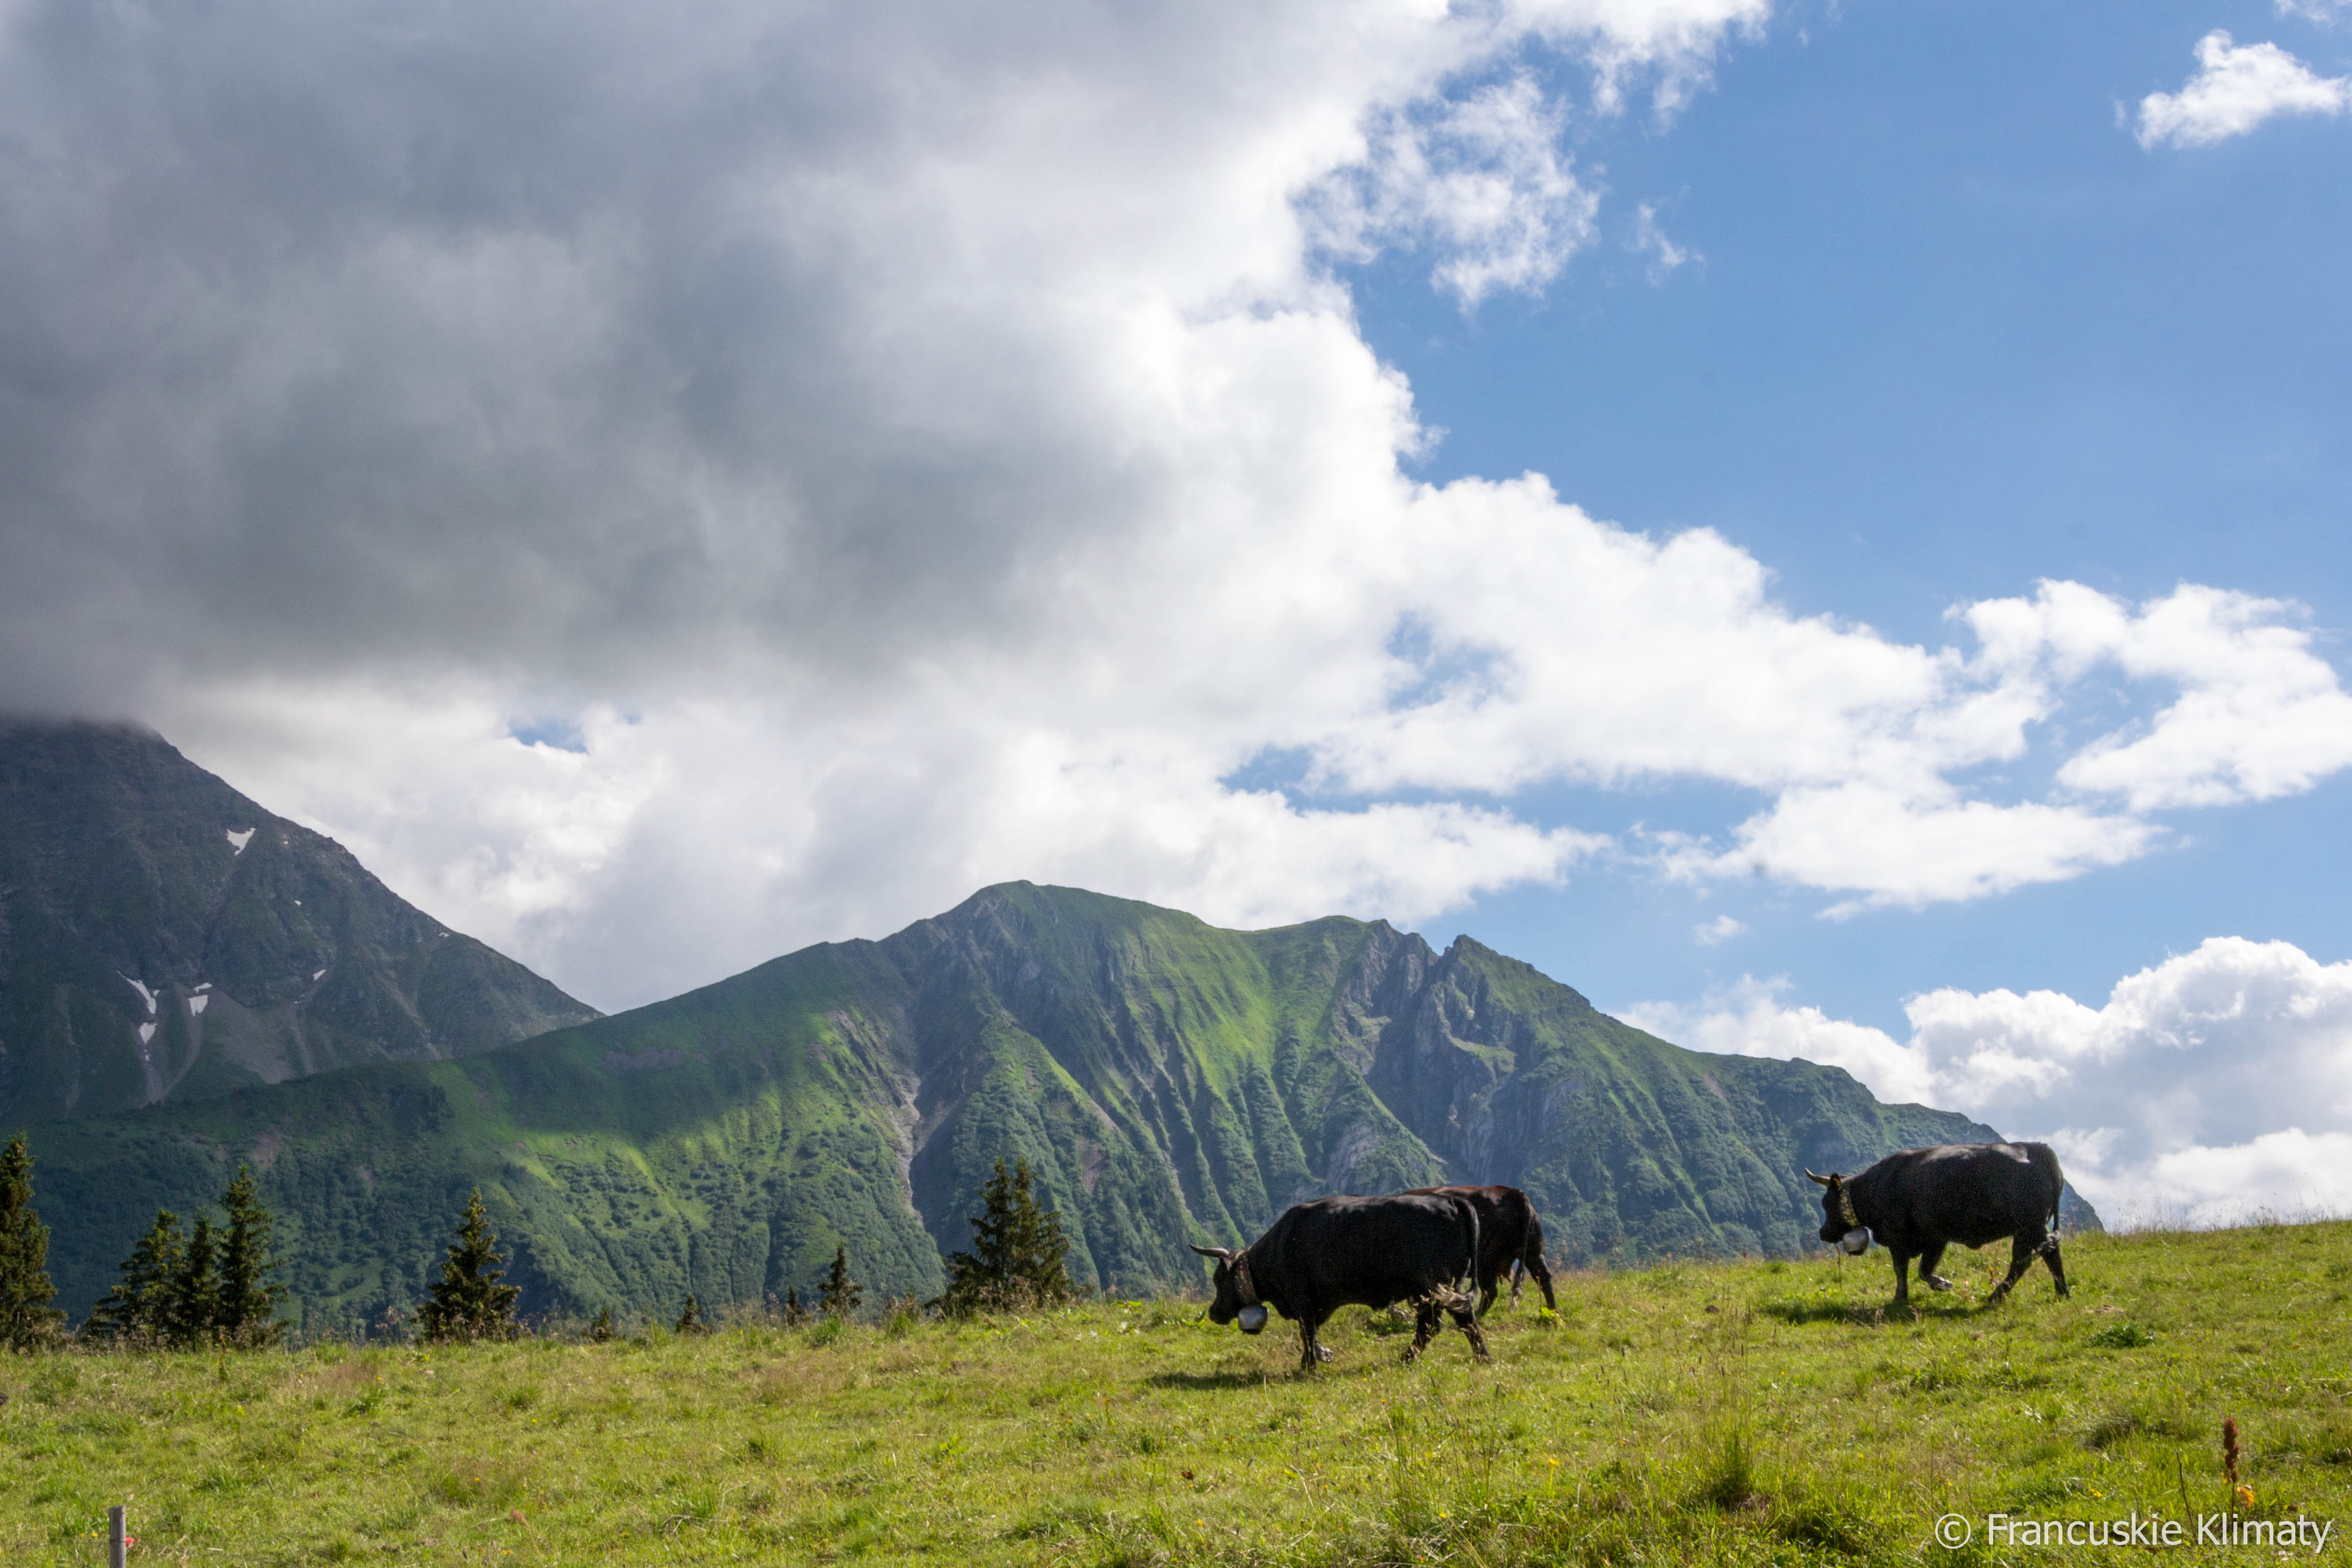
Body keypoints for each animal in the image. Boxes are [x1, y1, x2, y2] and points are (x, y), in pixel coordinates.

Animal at [1191, 1193, 1491, 1370]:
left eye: (1219, 1279)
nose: (1213, 1312)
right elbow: (1313, 1333)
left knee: (1453, 1318)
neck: (1277, 1248)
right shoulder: (1317, 1304)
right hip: (1433, 1290)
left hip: (1437, 1285)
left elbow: (1307, 1333)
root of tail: (1451, 1202)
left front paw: (1309, 1366)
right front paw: (1314, 1359)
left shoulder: (1301, 1300)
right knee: (1437, 1324)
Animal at [1404, 1184, 1556, 1313]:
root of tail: (1514, 1193)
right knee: (1544, 1277)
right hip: (1534, 1251)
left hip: (1487, 1261)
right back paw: (1554, 1315)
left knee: (1491, 1291)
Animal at [1807, 1141, 2072, 1307]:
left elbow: (1901, 1269)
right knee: (2028, 1261)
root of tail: (2037, 1149)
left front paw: (1900, 1299)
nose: (1823, 1233)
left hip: (2031, 1225)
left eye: (1826, 1202)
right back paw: (2056, 1294)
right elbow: (1924, 1270)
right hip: (2026, 1230)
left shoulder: (1898, 1236)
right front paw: (1943, 1284)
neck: (1874, 1187)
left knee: (2041, 1258)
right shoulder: (1936, 1237)